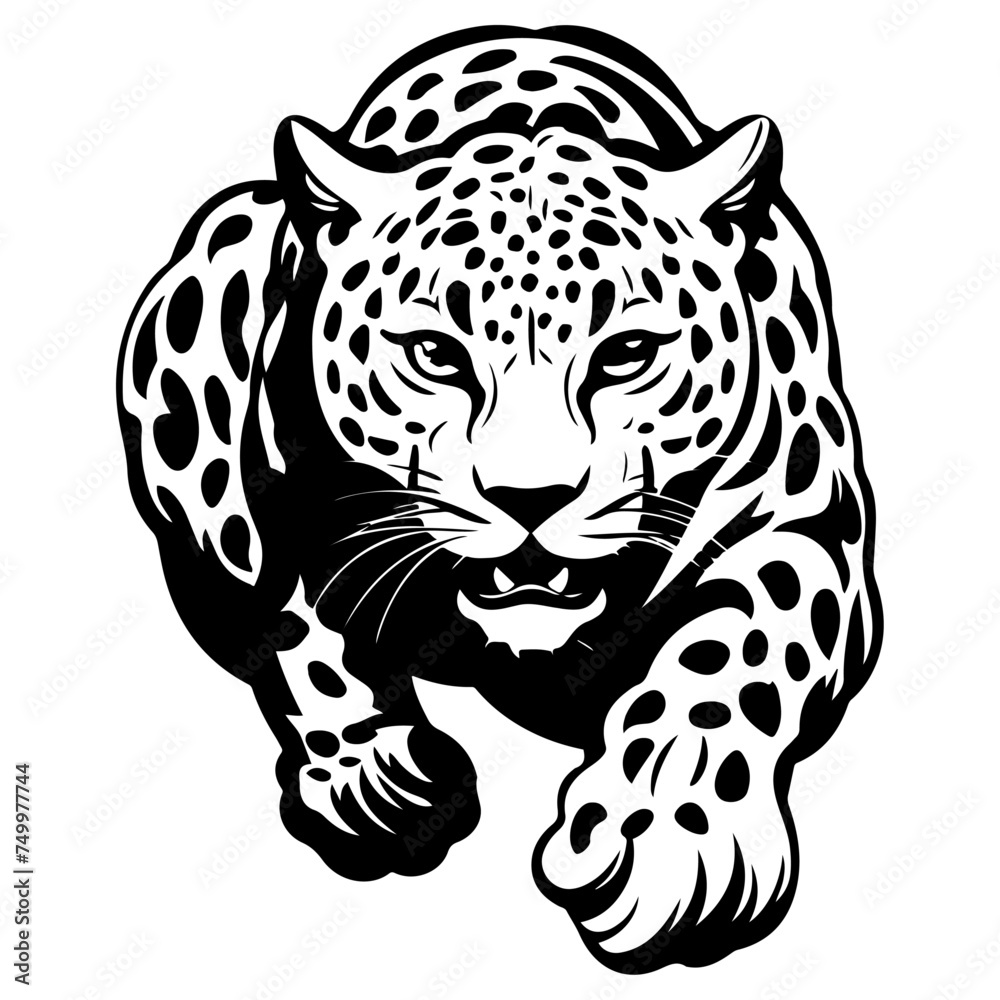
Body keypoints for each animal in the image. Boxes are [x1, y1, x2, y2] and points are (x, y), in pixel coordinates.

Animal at [116, 25, 882, 973]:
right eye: (435, 353)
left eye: (627, 351)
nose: (531, 497)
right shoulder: (263, 508)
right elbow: (289, 617)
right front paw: (376, 775)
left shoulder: (807, 524)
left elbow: (734, 649)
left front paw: (666, 830)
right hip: (230, 233)